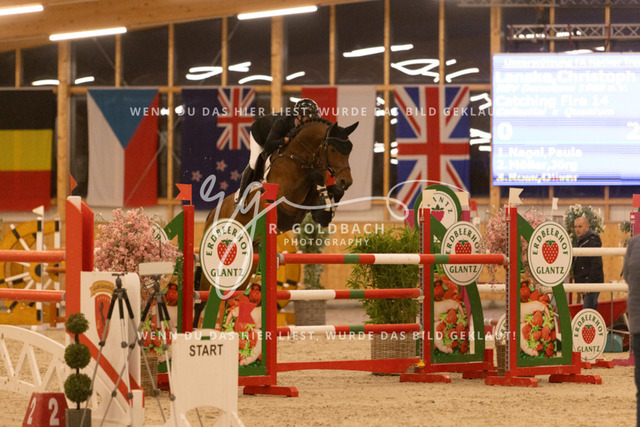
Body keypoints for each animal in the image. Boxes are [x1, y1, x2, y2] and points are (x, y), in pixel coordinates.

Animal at [194, 118, 359, 327]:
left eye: (350, 149)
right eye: (333, 149)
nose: (346, 181)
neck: (298, 158)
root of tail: (212, 213)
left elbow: (322, 201)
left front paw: (331, 198)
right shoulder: (285, 201)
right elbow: (313, 176)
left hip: (247, 263)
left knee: (233, 295)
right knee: (202, 298)